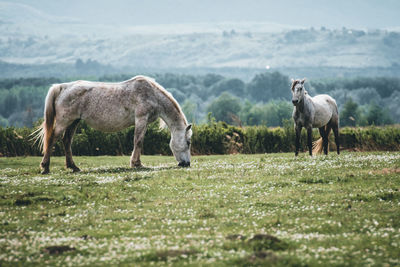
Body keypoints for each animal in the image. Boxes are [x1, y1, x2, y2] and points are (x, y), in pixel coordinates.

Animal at [32, 76, 192, 176]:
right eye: (188, 142)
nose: (186, 163)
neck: (152, 94)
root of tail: (63, 87)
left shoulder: (144, 122)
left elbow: (139, 141)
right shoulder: (141, 119)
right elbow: (138, 141)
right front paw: (136, 164)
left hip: (74, 122)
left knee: (66, 141)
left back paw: (74, 167)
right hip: (64, 122)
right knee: (53, 139)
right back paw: (45, 167)